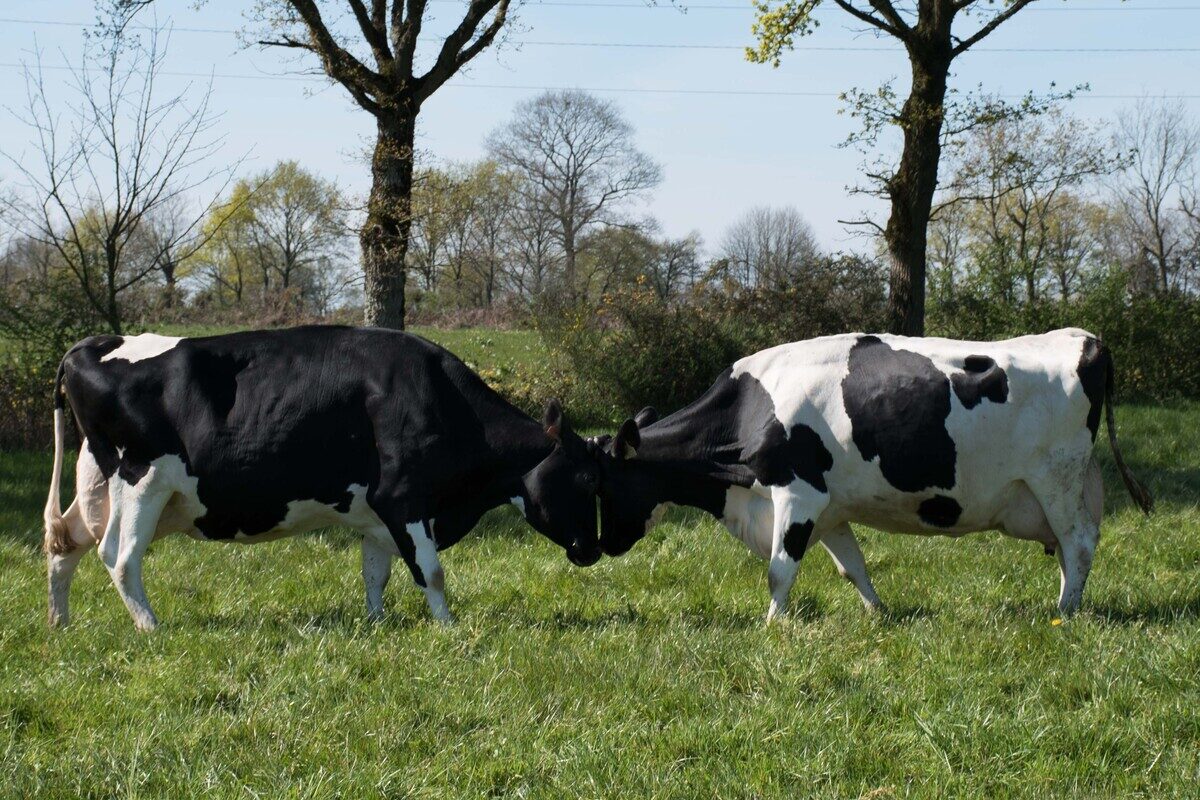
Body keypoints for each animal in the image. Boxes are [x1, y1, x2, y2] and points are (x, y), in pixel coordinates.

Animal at [43, 326, 604, 633]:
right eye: (585, 481)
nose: (596, 550)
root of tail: (92, 344)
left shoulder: (378, 513)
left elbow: (376, 572)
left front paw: (378, 623)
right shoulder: (402, 497)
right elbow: (431, 571)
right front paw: (447, 627)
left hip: (96, 483)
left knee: (65, 543)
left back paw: (60, 623)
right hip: (142, 481)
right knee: (118, 556)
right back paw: (151, 626)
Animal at [590, 328, 1152, 623]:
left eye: (606, 484)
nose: (600, 547)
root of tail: (1082, 338)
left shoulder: (797, 494)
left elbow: (778, 569)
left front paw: (772, 626)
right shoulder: (829, 507)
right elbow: (852, 568)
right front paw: (878, 614)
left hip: (1057, 478)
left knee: (1078, 542)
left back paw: (1066, 613)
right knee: (1069, 546)